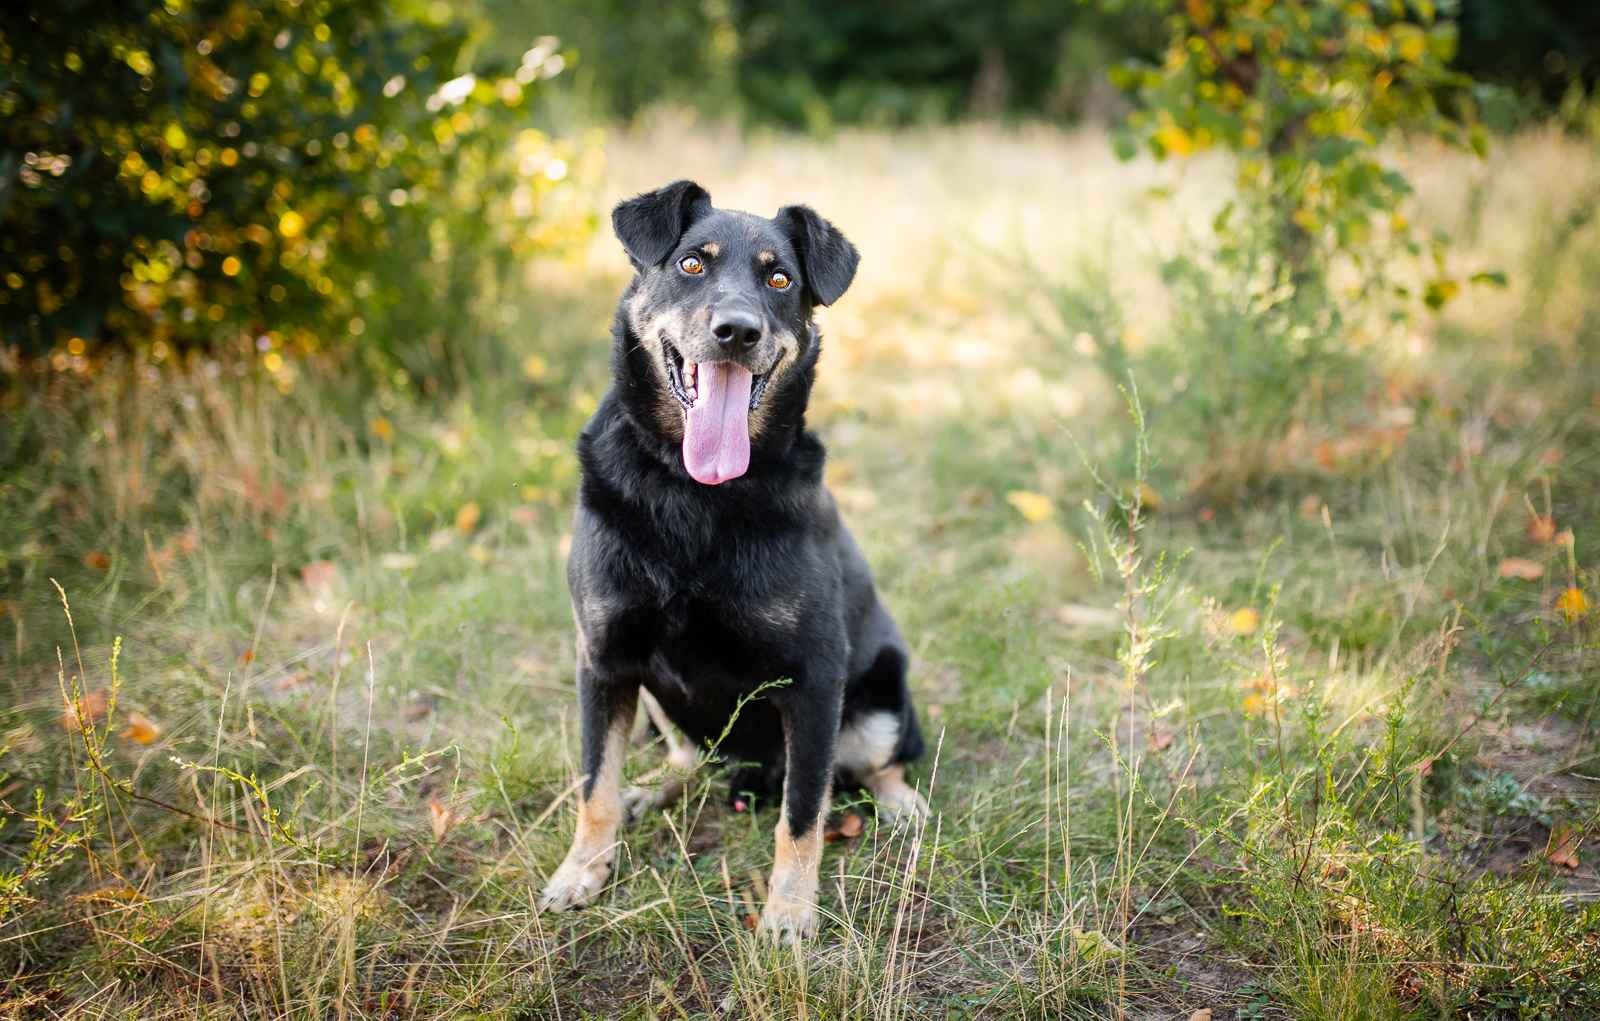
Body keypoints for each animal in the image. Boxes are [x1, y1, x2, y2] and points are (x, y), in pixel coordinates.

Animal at [537, 180, 934, 940]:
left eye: (780, 280)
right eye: (692, 264)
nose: (737, 331)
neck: (691, 491)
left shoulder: (814, 675)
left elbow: (803, 811)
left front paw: (788, 909)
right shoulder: (603, 659)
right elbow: (594, 782)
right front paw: (582, 868)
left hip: (879, 696)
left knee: (875, 766)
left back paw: (902, 806)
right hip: (659, 700)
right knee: (689, 757)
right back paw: (650, 791)